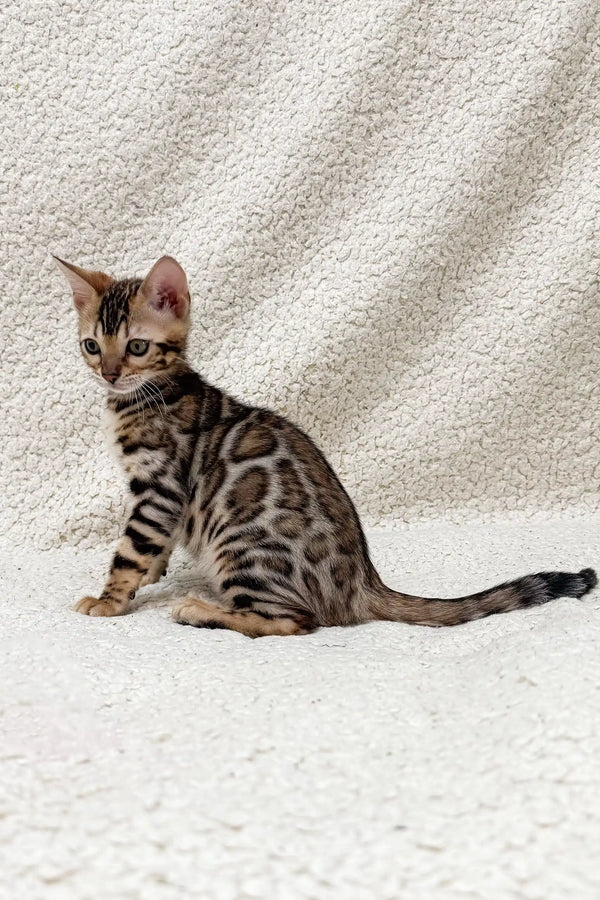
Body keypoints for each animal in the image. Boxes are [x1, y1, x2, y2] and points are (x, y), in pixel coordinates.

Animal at [55, 256, 596, 636]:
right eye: (91, 346)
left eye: (137, 347)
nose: (109, 374)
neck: (146, 396)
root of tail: (363, 582)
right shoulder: (157, 497)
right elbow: (153, 547)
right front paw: (151, 577)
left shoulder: (160, 486)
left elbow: (130, 549)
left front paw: (109, 600)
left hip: (244, 547)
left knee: (296, 621)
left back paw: (200, 610)